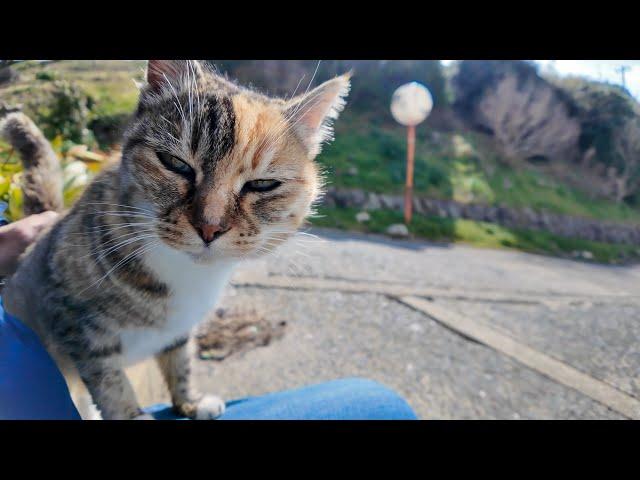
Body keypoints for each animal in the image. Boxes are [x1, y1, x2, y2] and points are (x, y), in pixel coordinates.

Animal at [0, 61, 350, 420]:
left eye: (263, 184)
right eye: (175, 163)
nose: (210, 227)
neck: (184, 274)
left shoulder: (180, 330)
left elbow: (181, 362)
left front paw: (190, 401)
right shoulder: (74, 323)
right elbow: (111, 383)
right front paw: (132, 415)